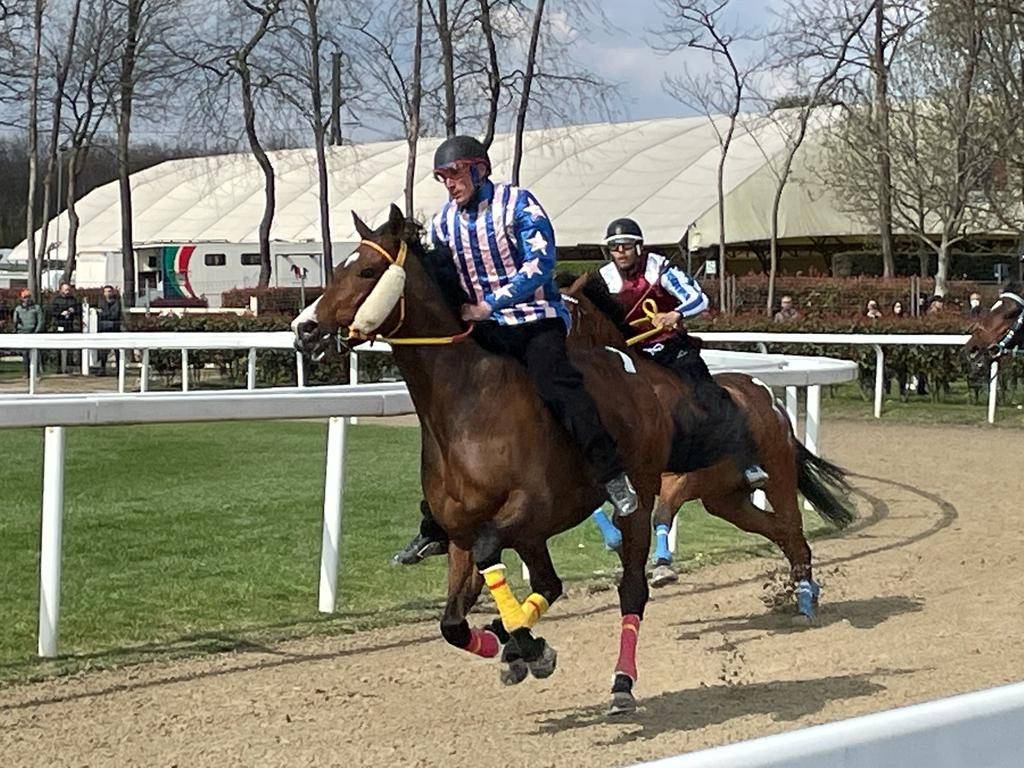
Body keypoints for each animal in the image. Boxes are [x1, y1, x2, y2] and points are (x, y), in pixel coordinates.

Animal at [299, 208, 741, 716]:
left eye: (369, 271)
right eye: (338, 268)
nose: (304, 328)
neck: (466, 405)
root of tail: (634, 369)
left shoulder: (527, 510)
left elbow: (492, 556)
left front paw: (524, 643)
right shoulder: (463, 532)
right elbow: (452, 623)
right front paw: (513, 643)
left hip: (635, 500)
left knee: (631, 588)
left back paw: (621, 683)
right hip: (534, 536)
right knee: (548, 583)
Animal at [565, 274, 860, 622]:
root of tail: (771, 400)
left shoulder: (678, 477)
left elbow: (661, 513)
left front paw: (663, 565)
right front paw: (618, 543)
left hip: (778, 474)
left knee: (790, 525)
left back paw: (803, 597)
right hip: (726, 501)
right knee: (780, 531)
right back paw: (806, 589)